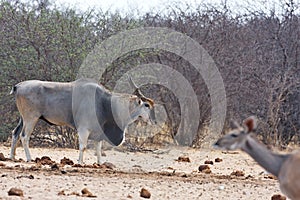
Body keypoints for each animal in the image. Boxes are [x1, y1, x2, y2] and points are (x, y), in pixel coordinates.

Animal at [9, 77, 155, 163]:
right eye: (146, 105)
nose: (153, 121)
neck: (104, 102)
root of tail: (18, 86)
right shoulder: (84, 130)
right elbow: (83, 146)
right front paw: (80, 162)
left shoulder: (98, 133)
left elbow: (98, 149)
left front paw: (99, 164)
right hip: (31, 118)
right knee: (24, 136)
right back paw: (29, 159)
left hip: (23, 119)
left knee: (15, 133)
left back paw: (12, 157)